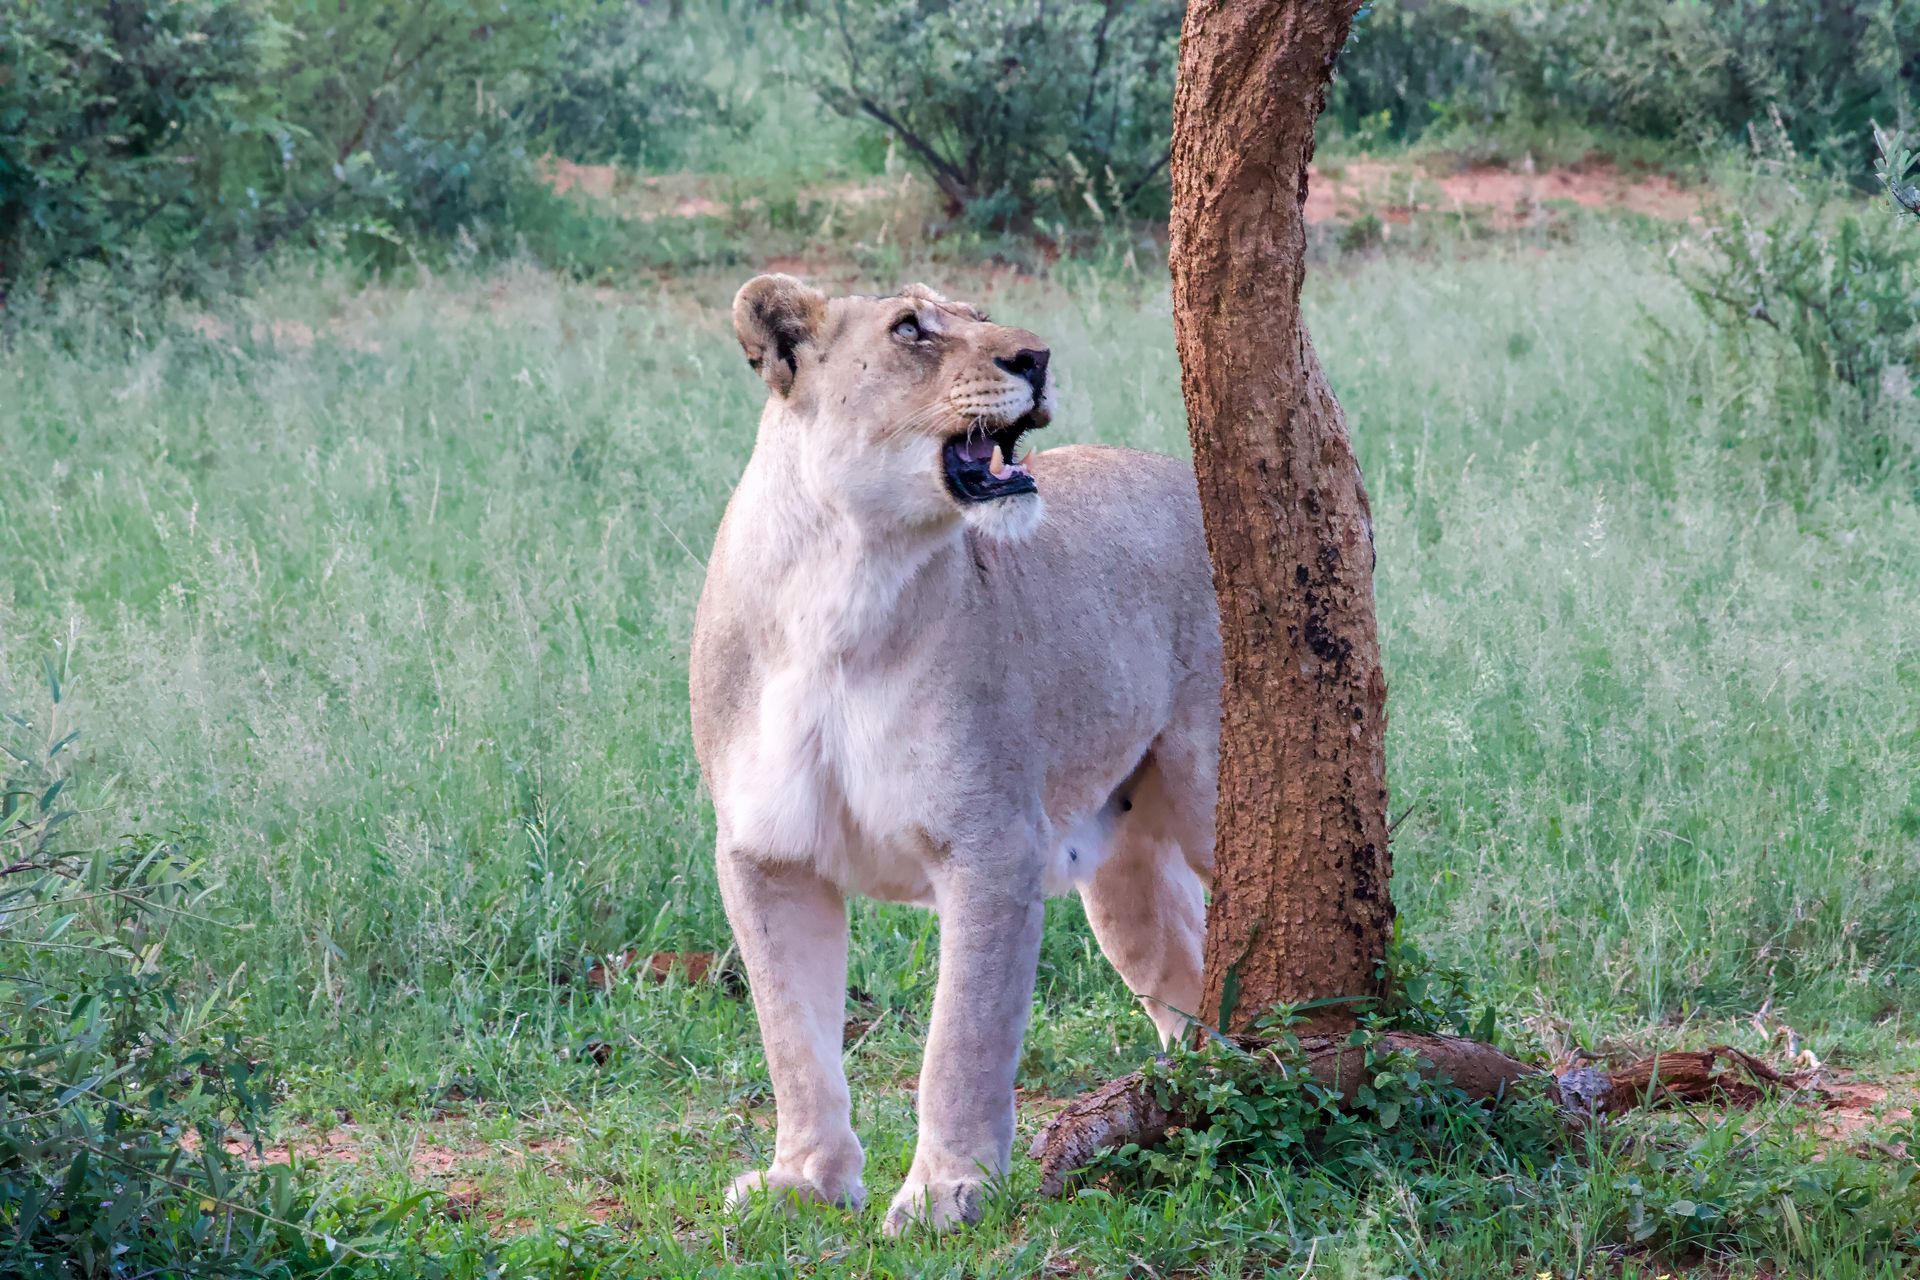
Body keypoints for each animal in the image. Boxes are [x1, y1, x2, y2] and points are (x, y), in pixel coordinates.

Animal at [689, 274, 1220, 1234]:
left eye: (977, 315)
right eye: (911, 330)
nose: (1036, 356)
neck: (838, 584)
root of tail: (1184, 474)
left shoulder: (991, 842)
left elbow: (963, 1036)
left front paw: (947, 1191)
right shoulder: (765, 852)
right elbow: (793, 1036)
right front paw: (804, 1181)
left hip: (1216, 794)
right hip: (1124, 876)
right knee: (1181, 974)